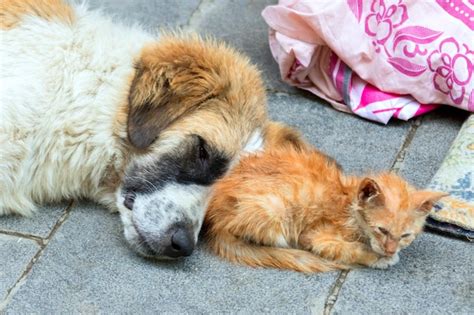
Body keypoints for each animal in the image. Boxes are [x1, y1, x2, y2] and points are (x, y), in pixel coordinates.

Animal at [205, 123, 448, 274]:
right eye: (382, 230)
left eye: (406, 235)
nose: (390, 249)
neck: (349, 205)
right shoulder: (316, 236)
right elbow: (347, 249)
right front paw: (378, 258)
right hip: (274, 211)